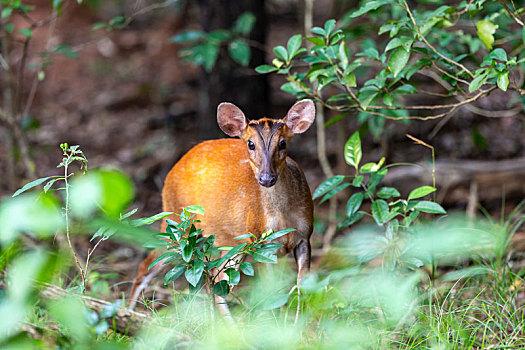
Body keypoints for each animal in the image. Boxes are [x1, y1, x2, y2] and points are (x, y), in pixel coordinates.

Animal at [128, 99, 314, 320]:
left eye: (283, 142)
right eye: (250, 144)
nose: (267, 178)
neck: (283, 217)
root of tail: (173, 169)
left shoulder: (305, 236)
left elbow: (304, 288)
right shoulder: (259, 241)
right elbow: (271, 294)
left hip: (230, 241)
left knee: (215, 282)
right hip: (177, 220)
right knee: (147, 264)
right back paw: (126, 313)